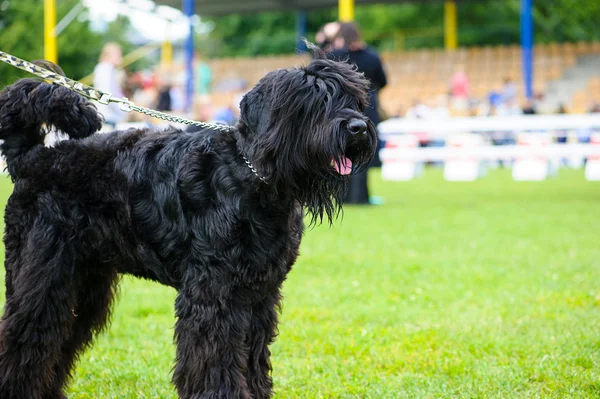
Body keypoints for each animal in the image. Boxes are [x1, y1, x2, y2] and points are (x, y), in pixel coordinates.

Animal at [0, 47, 376, 399]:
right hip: (45, 277)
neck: (252, 178)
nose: (358, 127)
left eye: (354, 98)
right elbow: (215, 358)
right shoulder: (214, 293)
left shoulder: (260, 295)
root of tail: (32, 158)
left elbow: (253, 357)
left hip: (85, 283)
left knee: (58, 340)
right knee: (25, 334)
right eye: (313, 100)